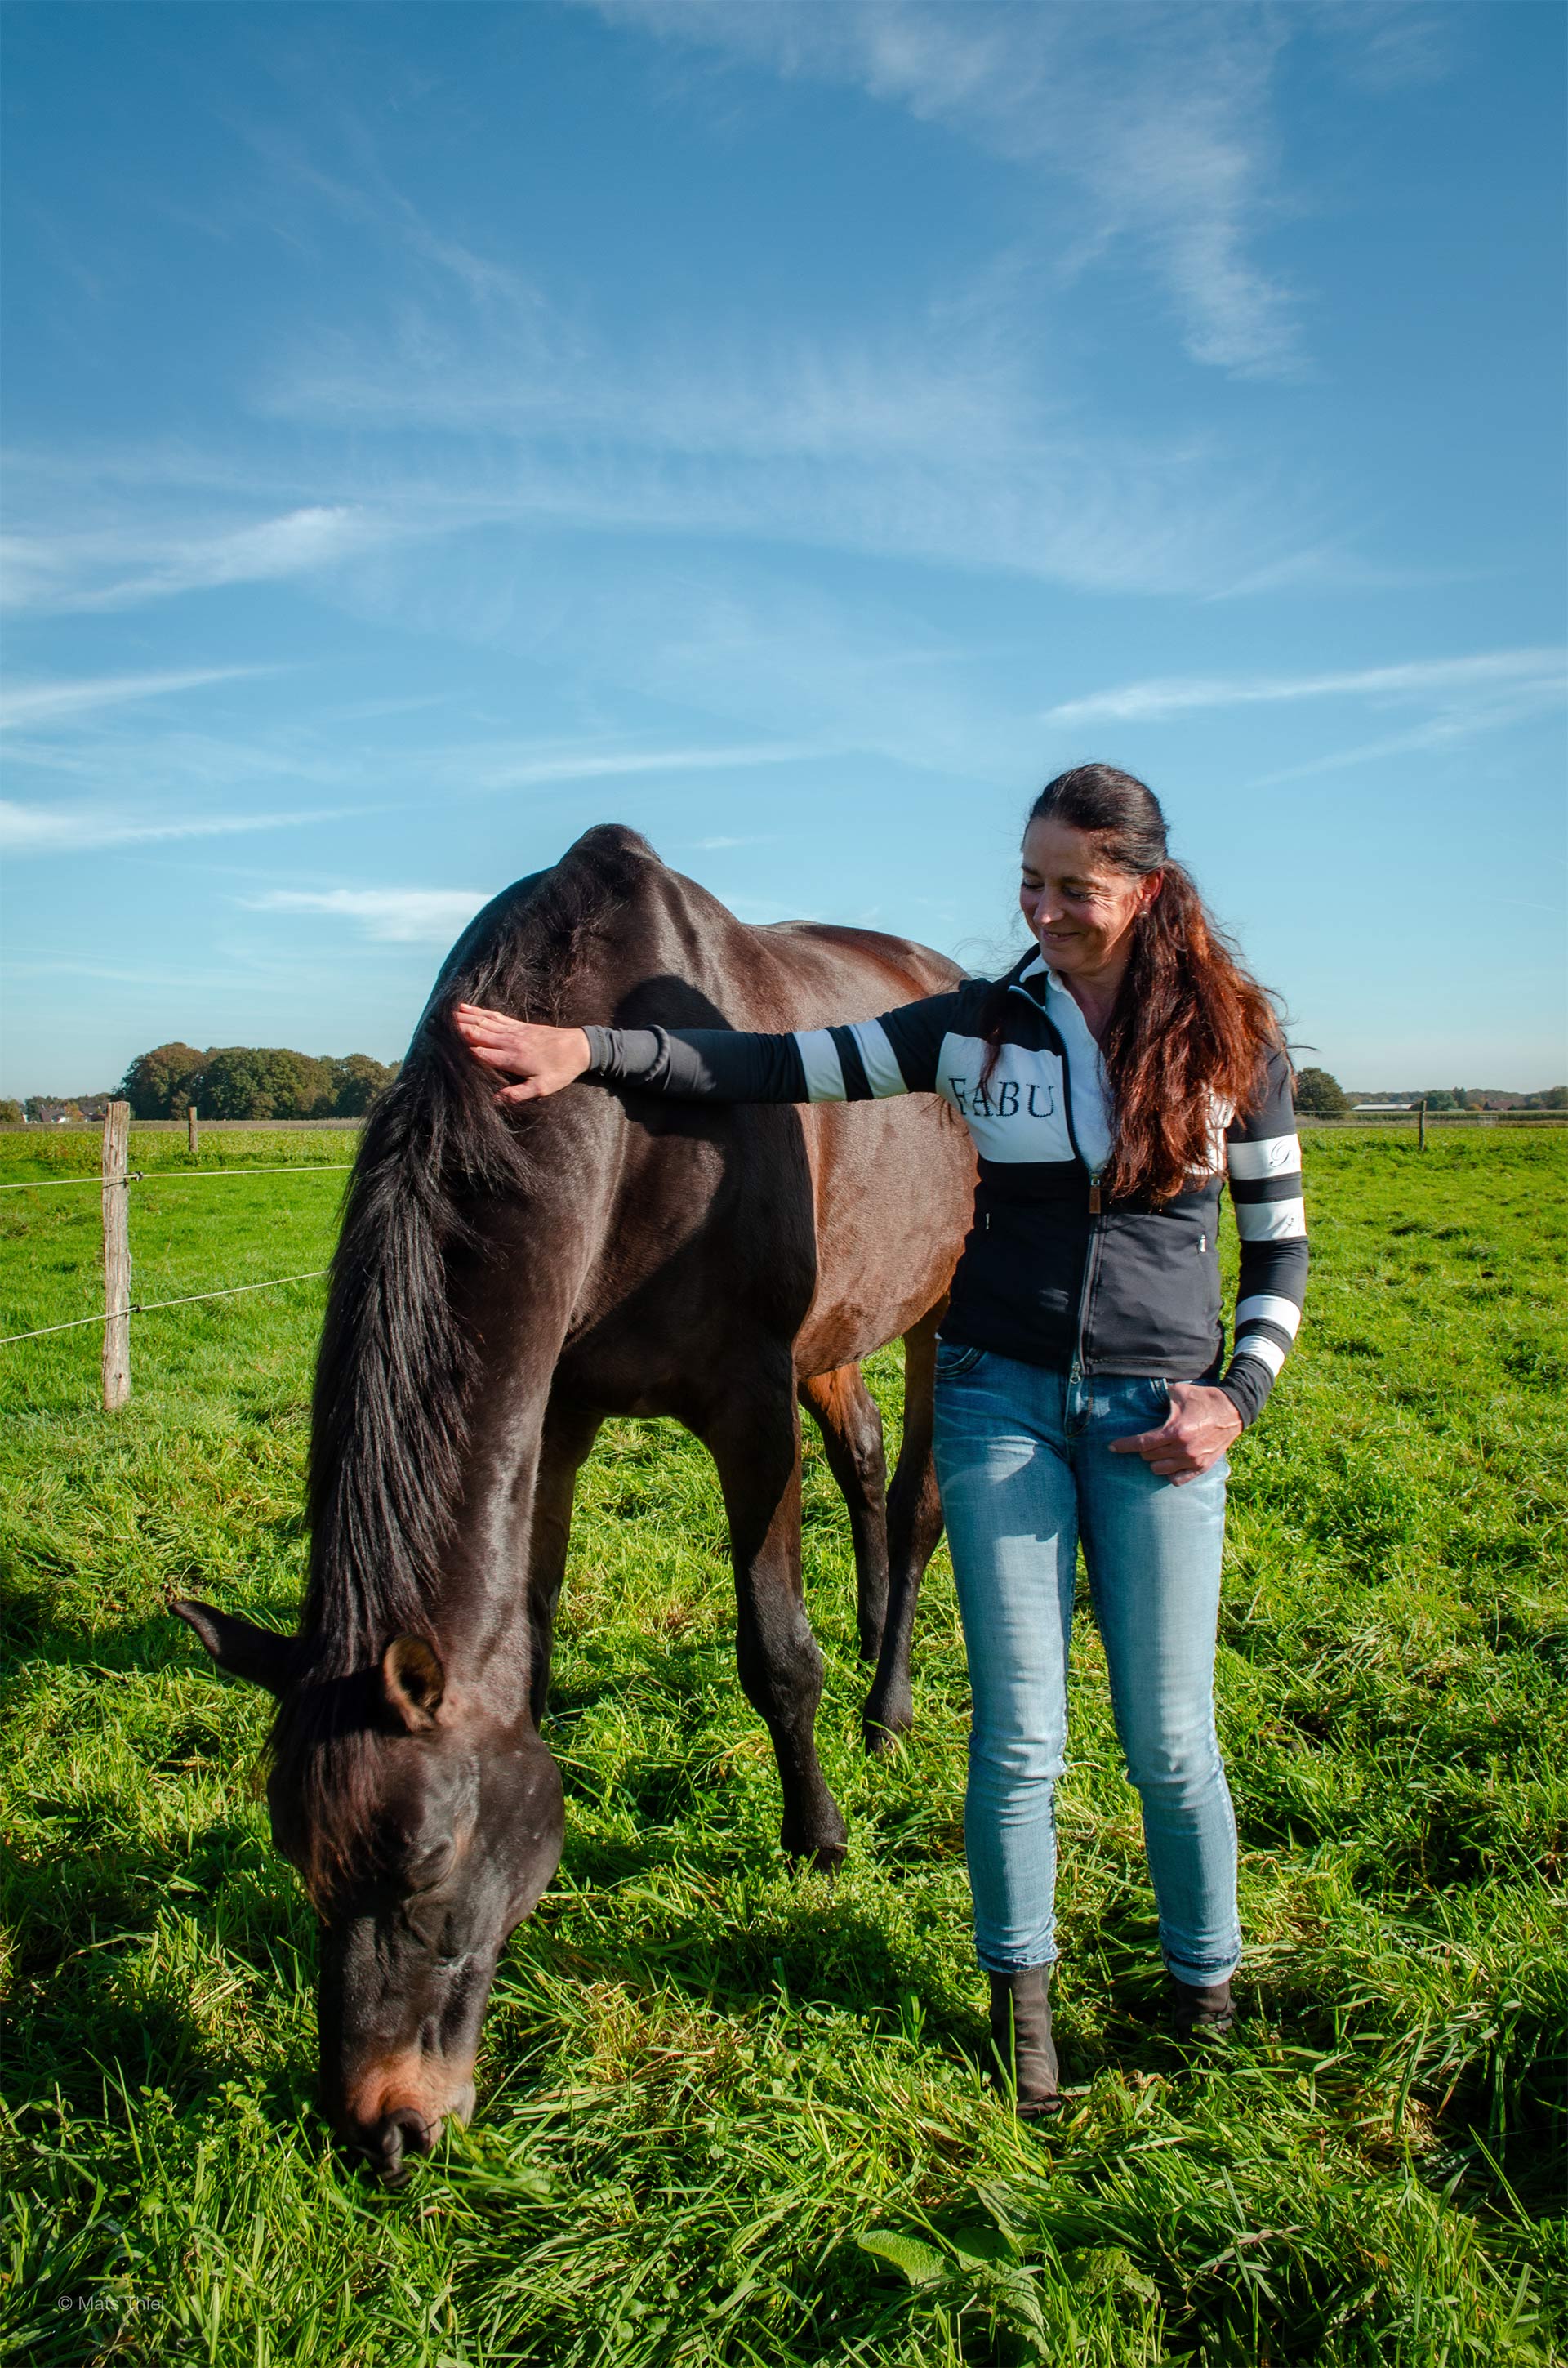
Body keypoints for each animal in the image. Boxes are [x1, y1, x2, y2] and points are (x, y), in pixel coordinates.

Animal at [172, 823, 976, 2180]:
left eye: (425, 1858)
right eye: (297, 1854)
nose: (386, 2127)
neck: (636, 1128)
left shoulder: (747, 1405)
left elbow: (775, 1650)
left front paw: (816, 1835)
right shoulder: (554, 1415)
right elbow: (532, 1649)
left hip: (940, 1309)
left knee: (915, 1501)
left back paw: (888, 1704)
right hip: (840, 1335)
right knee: (865, 1459)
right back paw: (876, 1629)